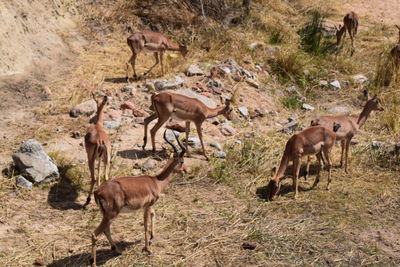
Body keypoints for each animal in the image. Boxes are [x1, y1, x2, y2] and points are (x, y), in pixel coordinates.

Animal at [90, 131, 186, 266]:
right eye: (182, 161)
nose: (185, 171)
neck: (156, 181)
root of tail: (97, 191)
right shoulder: (147, 206)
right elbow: (145, 226)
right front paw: (148, 249)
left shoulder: (149, 207)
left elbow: (153, 215)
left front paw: (151, 239)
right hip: (111, 214)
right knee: (95, 234)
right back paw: (94, 262)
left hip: (106, 215)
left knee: (106, 230)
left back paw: (116, 250)